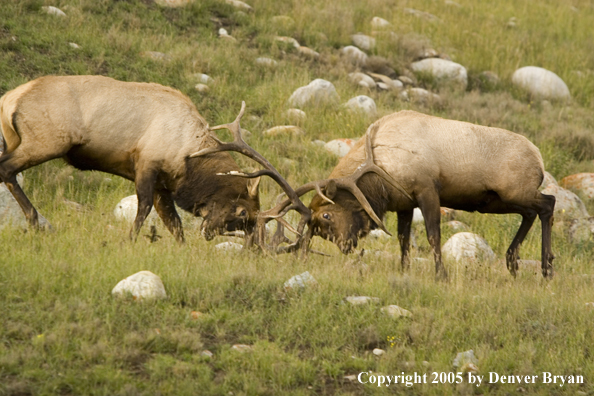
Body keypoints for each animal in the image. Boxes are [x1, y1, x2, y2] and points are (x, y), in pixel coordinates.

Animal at [0, 74, 306, 241]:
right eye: (242, 212)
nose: (209, 233)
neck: (189, 157)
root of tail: (8, 99)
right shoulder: (147, 164)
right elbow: (144, 209)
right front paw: (130, 240)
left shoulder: (163, 185)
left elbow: (175, 225)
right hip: (45, 141)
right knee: (7, 169)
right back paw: (33, 220)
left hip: (18, 141)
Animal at [270, 110, 552, 280]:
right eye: (318, 230)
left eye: (327, 215)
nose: (346, 246)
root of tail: (540, 159)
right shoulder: (403, 203)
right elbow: (404, 239)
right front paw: (405, 269)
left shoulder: (427, 189)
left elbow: (433, 235)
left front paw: (441, 274)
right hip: (500, 201)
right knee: (531, 212)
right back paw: (515, 262)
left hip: (514, 191)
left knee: (548, 203)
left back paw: (547, 268)